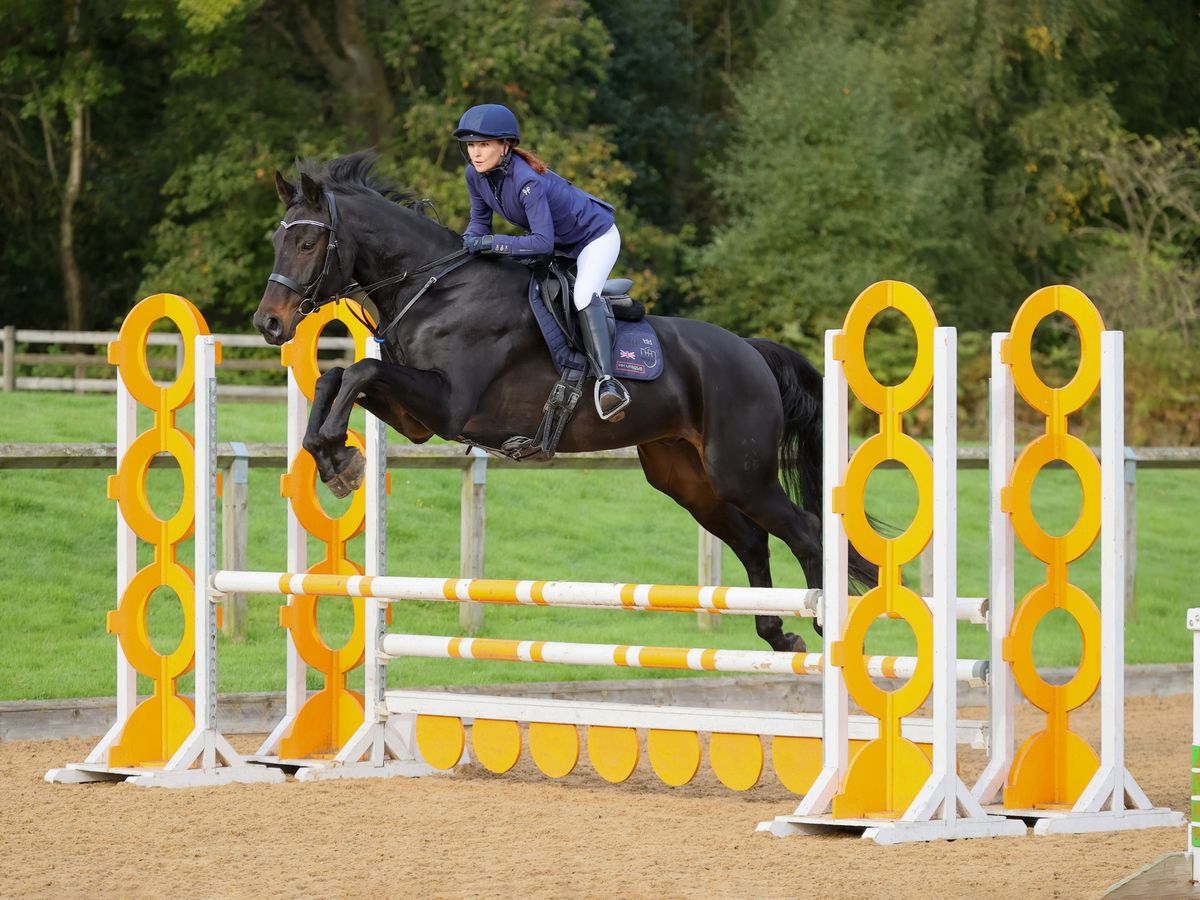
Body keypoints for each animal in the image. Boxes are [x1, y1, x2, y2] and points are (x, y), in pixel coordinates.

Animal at [253, 151, 873, 652]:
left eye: (307, 242)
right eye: (277, 241)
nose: (269, 324)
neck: (433, 290)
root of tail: (749, 351)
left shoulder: (445, 405)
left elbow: (360, 369)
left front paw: (340, 460)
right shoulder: (416, 416)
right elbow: (339, 376)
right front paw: (334, 459)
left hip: (739, 471)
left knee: (805, 530)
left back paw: (823, 626)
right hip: (686, 476)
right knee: (752, 539)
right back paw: (778, 633)